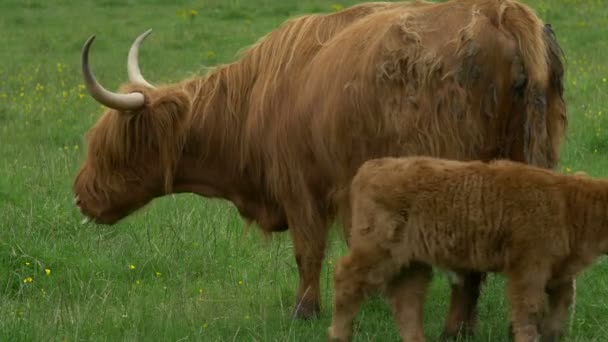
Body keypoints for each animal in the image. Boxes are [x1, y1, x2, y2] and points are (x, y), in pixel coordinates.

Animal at [73, 0, 568, 332]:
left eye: (110, 147)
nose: (80, 195)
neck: (255, 102)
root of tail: (500, 11)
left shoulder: (302, 188)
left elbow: (307, 252)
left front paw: (304, 312)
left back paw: (456, 330)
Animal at [328, 156, 604, 342]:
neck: (571, 203)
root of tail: (371, 167)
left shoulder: (560, 274)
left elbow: (560, 311)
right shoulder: (528, 270)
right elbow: (529, 311)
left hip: (412, 263)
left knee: (406, 302)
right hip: (376, 253)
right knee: (346, 280)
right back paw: (339, 335)